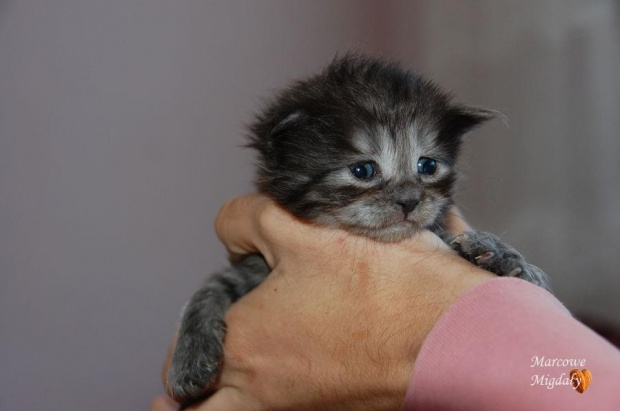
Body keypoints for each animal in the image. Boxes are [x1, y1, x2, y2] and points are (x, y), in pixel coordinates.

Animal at [167, 54, 548, 406]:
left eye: (427, 165)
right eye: (363, 170)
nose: (410, 200)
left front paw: (507, 257)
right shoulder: (248, 267)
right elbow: (207, 291)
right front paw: (188, 360)